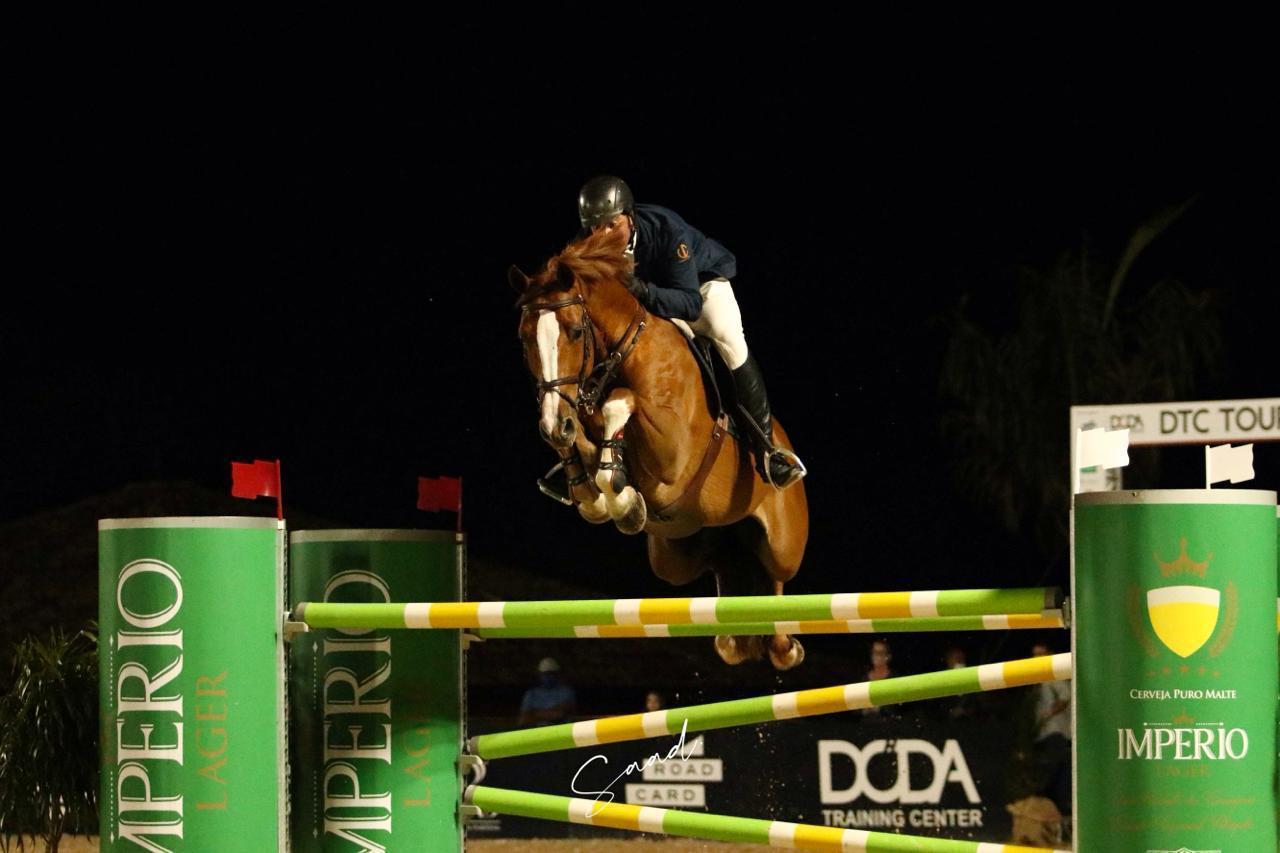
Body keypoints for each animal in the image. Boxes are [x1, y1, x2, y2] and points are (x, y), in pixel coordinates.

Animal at [509, 227, 808, 671]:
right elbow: (587, 440)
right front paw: (606, 495)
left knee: (775, 577)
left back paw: (785, 644)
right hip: (675, 558)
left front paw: (617, 493)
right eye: (524, 338)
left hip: (783, 546)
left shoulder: (671, 448)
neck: (621, 352)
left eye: (575, 331)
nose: (552, 425)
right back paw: (735, 639)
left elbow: (621, 402)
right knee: (725, 566)